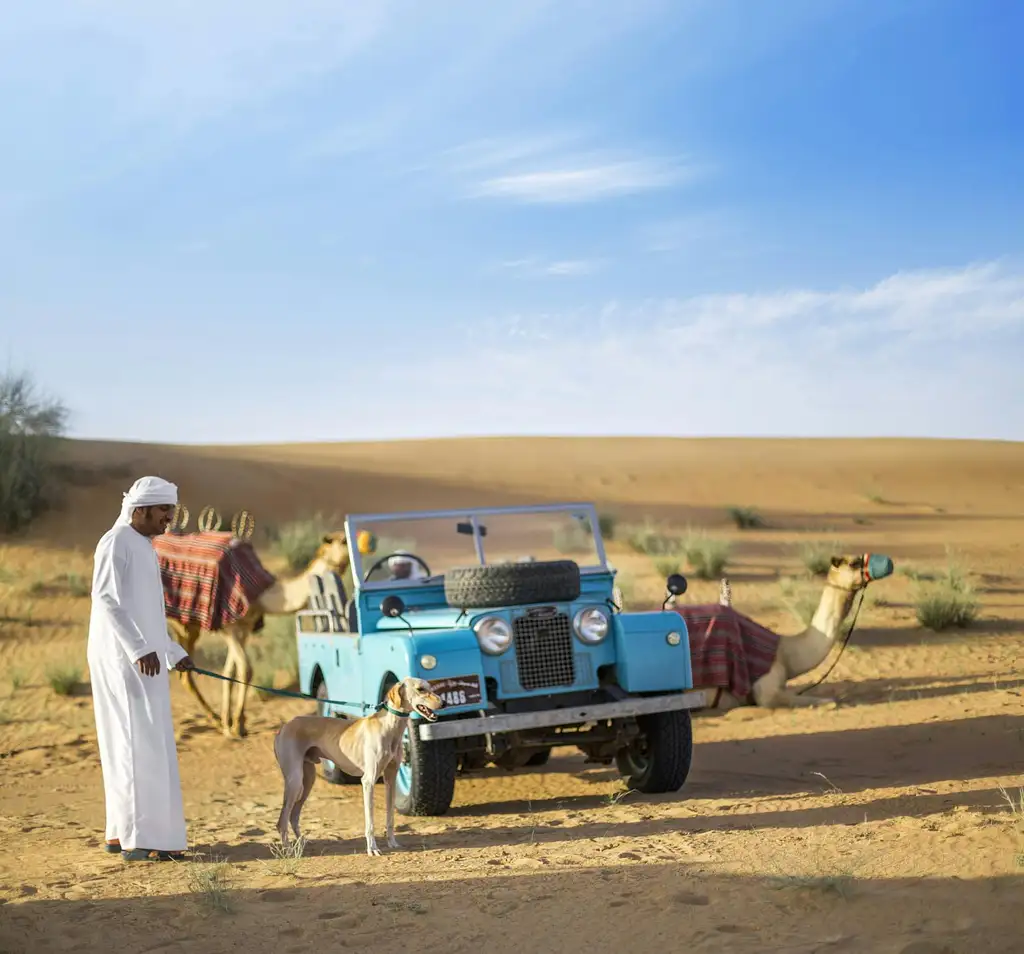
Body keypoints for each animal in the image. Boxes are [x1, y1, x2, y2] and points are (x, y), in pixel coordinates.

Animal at [272, 679, 444, 855]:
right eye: (420, 689)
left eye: (430, 687)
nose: (443, 703)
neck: (388, 726)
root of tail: (283, 727)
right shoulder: (368, 781)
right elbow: (370, 822)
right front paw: (372, 849)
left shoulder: (390, 779)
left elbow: (390, 817)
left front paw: (392, 843)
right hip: (295, 780)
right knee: (282, 820)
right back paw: (288, 850)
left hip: (308, 780)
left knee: (293, 816)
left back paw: (301, 844)